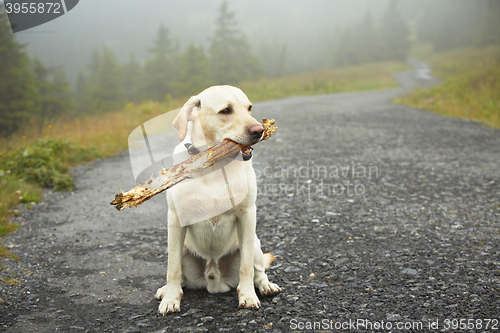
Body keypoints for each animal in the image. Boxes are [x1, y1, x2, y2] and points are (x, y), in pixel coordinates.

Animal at [156, 84, 282, 312]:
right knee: (180, 274)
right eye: (226, 111)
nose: (258, 130)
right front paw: (170, 299)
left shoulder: (247, 215)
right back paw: (165, 290)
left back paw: (266, 285)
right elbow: (173, 269)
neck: (214, 165)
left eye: (249, 108)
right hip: (182, 246)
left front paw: (248, 296)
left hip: (255, 242)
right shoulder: (176, 220)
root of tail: (214, 280)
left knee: (258, 269)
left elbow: (246, 268)